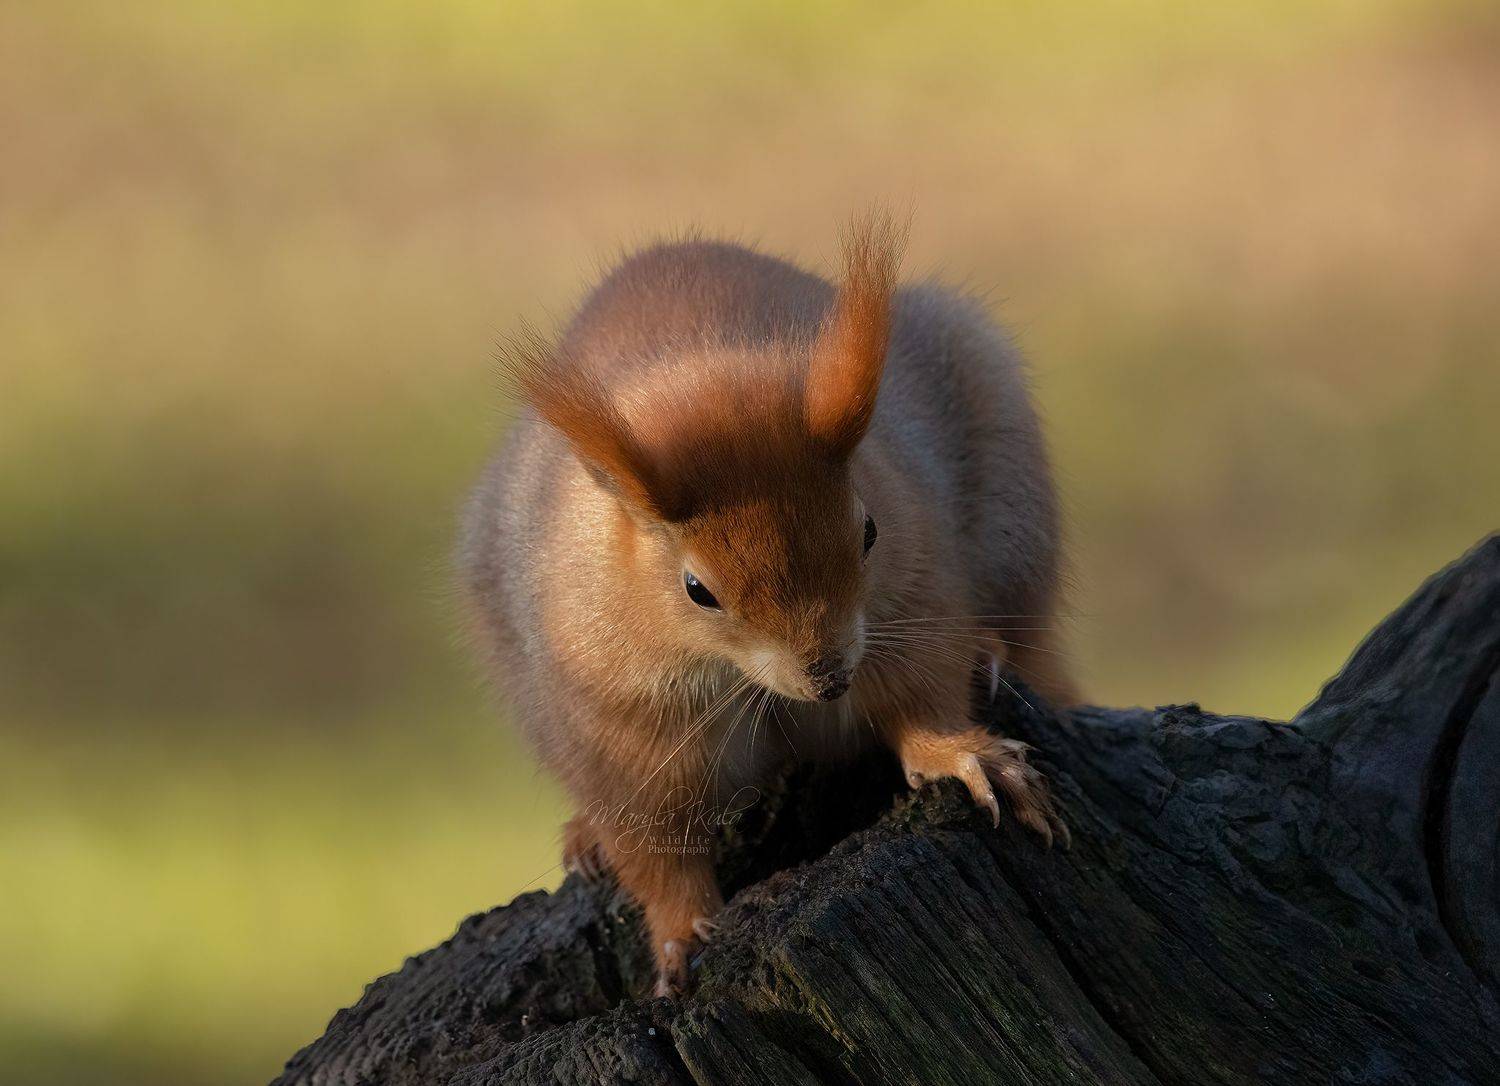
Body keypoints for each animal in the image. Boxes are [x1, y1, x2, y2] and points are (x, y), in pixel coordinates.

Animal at [459, 214, 1075, 997]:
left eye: (870, 530)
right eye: (698, 590)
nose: (830, 677)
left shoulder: (917, 600)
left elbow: (922, 699)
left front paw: (963, 756)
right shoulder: (618, 734)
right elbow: (653, 850)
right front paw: (680, 938)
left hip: (1009, 505)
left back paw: (992, 653)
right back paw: (583, 837)